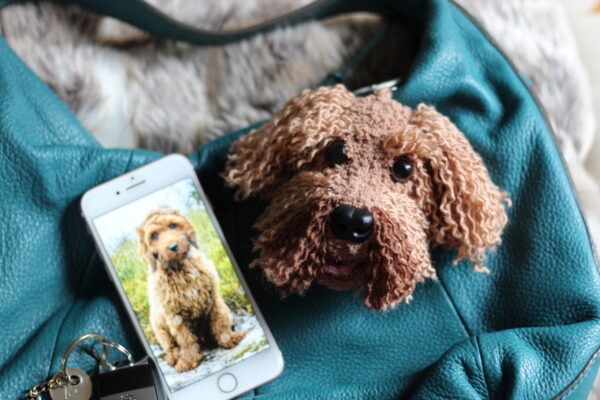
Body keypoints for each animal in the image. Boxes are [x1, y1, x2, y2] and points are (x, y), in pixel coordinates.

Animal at [138, 208, 244, 374]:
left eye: (173, 225)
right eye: (154, 235)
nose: (173, 246)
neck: (181, 269)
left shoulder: (214, 298)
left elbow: (220, 320)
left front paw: (228, 338)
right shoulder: (174, 315)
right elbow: (185, 339)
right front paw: (188, 361)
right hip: (158, 324)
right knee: (170, 345)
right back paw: (174, 355)